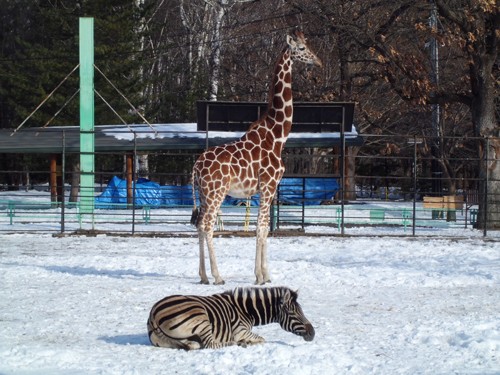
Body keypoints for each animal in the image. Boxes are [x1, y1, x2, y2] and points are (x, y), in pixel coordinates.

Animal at [146, 286, 314, 352]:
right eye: (293, 313)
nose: (313, 333)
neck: (245, 310)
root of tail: (153, 313)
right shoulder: (240, 331)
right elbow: (262, 339)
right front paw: (246, 342)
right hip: (200, 317)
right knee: (210, 344)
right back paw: (236, 344)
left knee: (192, 345)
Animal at [189, 31, 322, 284]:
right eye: (301, 47)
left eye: (309, 44)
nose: (318, 61)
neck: (277, 136)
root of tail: (196, 167)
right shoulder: (269, 186)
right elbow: (261, 228)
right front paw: (260, 276)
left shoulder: (265, 190)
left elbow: (265, 228)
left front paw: (265, 275)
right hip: (216, 193)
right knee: (208, 226)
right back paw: (218, 276)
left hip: (203, 194)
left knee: (199, 225)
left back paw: (203, 276)